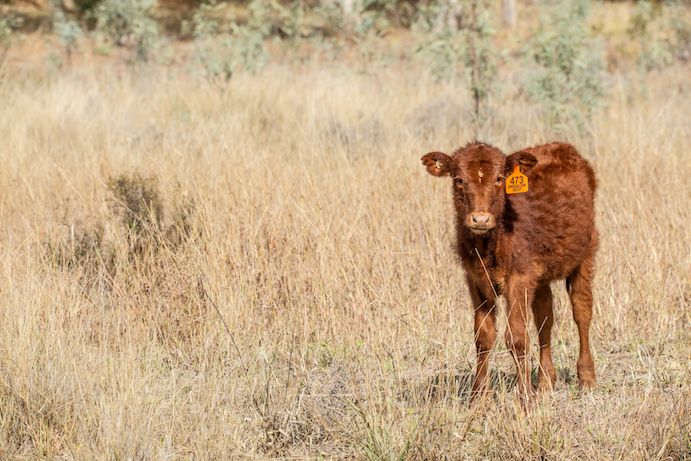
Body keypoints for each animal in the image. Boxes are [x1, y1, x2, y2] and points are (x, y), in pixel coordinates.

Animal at [421, 141, 598, 400]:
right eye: (459, 180)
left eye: (499, 178)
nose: (480, 219)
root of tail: (564, 147)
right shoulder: (476, 280)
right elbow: (483, 337)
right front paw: (478, 397)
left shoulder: (518, 279)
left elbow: (517, 337)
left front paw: (524, 397)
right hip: (541, 278)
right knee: (545, 318)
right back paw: (545, 380)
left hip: (585, 256)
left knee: (582, 312)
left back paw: (586, 377)